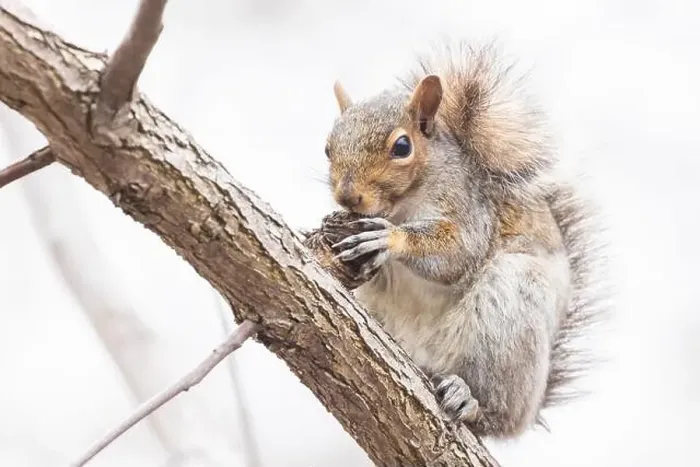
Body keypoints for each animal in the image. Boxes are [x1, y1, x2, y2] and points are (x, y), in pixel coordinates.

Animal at [323, 43, 608, 438]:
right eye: (327, 148)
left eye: (402, 147)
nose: (348, 196)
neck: (403, 204)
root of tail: (530, 410)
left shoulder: (470, 210)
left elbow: (458, 253)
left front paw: (390, 239)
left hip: (510, 316)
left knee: (495, 413)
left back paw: (470, 400)